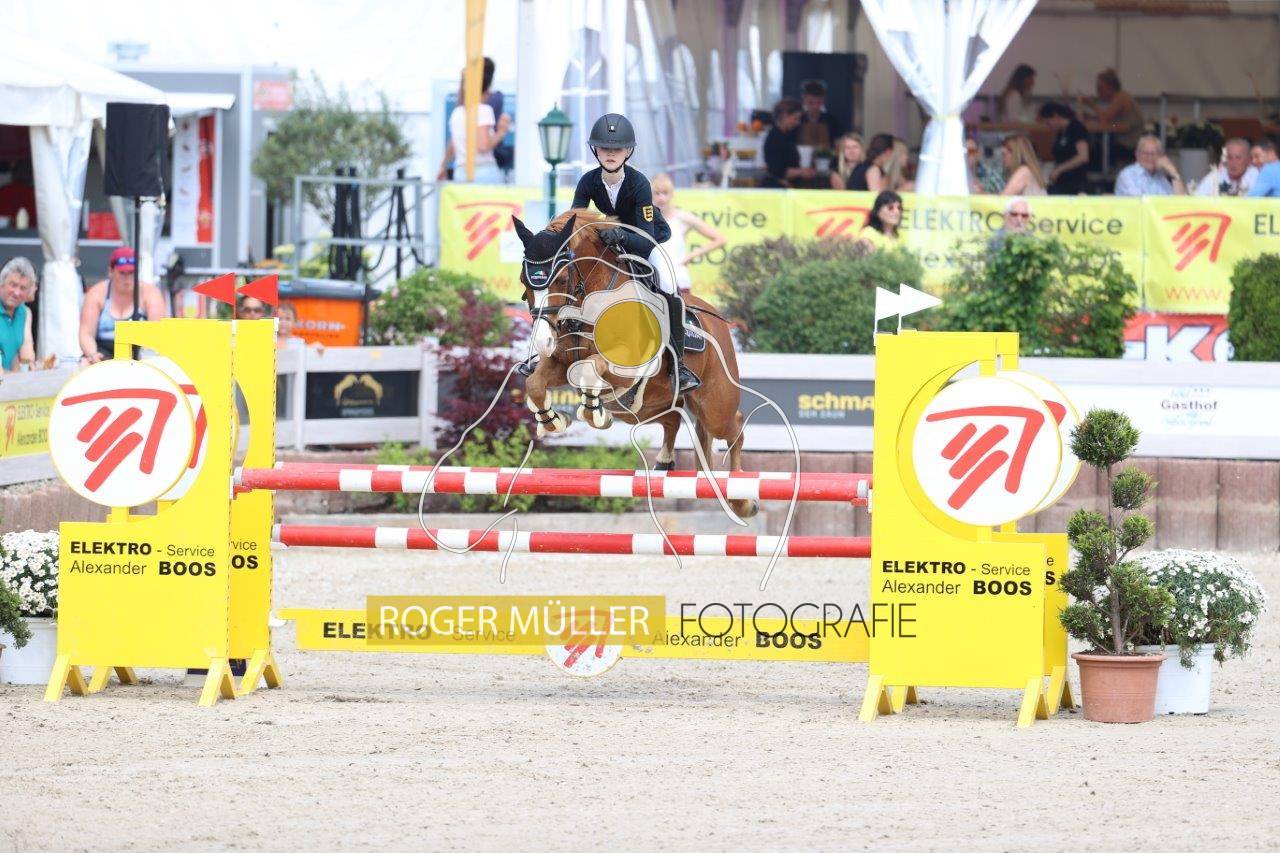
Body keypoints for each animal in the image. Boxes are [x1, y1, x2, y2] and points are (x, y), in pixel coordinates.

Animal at [512, 209, 757, 519]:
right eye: (524, 280)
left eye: (562, 278)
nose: (543, 341)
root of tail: (717, 318)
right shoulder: (559, 362)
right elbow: (535, 383)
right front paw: (553, 422)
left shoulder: (626, 366)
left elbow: (592, 369)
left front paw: (594, 414)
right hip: (644, 407)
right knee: (673, 419)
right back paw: (665, 461)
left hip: (714, 406)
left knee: (734, 426)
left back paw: (742, 500)